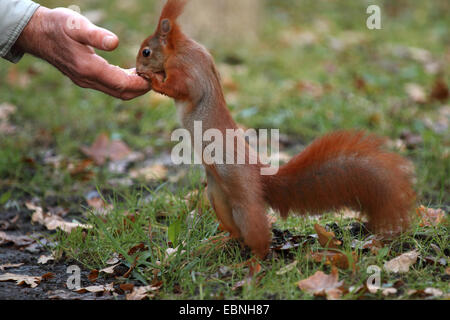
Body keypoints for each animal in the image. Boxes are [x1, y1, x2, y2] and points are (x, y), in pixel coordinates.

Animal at [136, 0, 414, 258]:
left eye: (146, 51)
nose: (137, 68)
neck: (180, 48)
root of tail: (261, 177)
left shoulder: (188, 70)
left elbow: (180, 88)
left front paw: (153, 80)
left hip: (243, 199)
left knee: (258, 237)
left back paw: (254, 264)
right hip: (218, 195)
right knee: (236, 232)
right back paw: (217, 244)